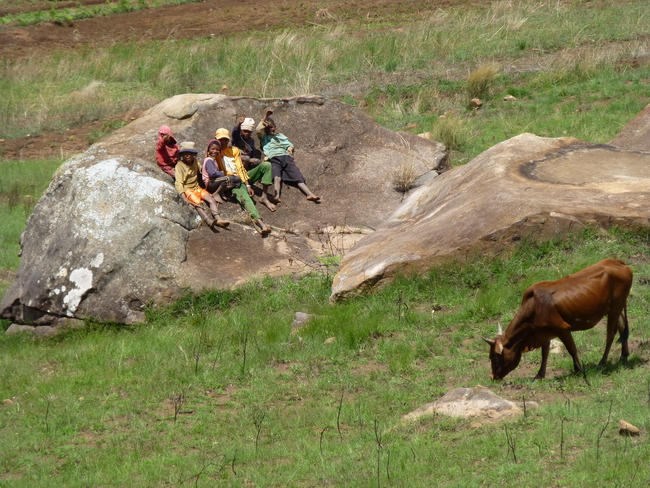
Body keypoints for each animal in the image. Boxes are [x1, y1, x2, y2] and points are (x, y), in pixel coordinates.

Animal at [484, 260, 632, 382]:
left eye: (495, 358)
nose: (493, 377)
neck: (534, 307)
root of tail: (618, 262)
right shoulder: (544, 333)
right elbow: (545, 354)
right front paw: (539, 375)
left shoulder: (562, 329)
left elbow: (572, 349)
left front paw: (578, 370)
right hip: (615, 308)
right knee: (622, 327)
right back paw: (623, 357)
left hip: (615, 306)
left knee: (610, 334)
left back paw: (602, 363)